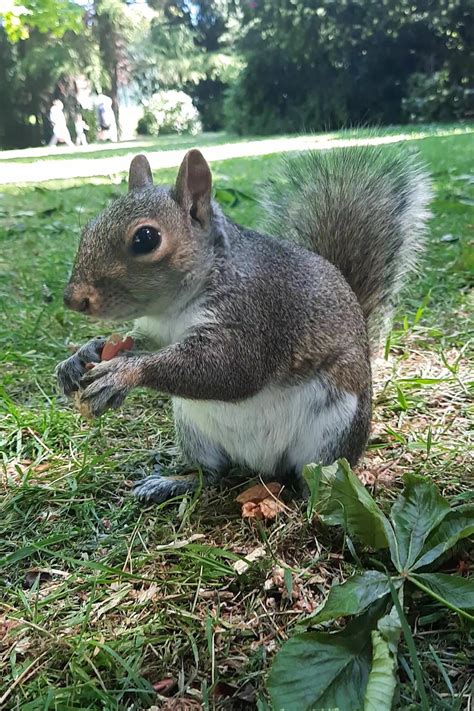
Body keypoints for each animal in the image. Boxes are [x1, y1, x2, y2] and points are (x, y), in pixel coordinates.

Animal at [56, 145, 431, 503]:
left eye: (146, 238)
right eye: (89, 227)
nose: (73, 299)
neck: (176, 309)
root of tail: (263, 466)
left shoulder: (257, 311)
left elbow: (235, 369)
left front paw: (122, 372)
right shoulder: (157, 330)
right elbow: (141, 342)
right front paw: (81, 357)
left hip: (334, 432)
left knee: (319, 475)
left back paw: (323, 499)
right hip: (195, 431)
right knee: (211, 474)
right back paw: (173, 482)